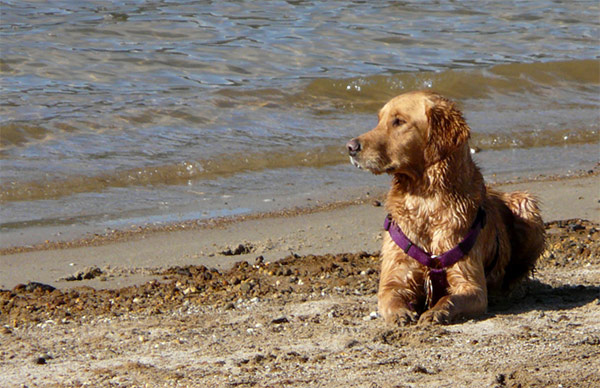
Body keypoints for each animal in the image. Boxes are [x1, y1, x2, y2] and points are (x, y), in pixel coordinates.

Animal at [344, 91, 548, 324]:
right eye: (379, 119)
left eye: (398, 121)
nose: (350, 147)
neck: (426, 201)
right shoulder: (395, 277)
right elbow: (391, 297)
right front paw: (400, 313)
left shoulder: (471, 285)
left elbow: (451, 299)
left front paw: (436, 311)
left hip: (526, 205)